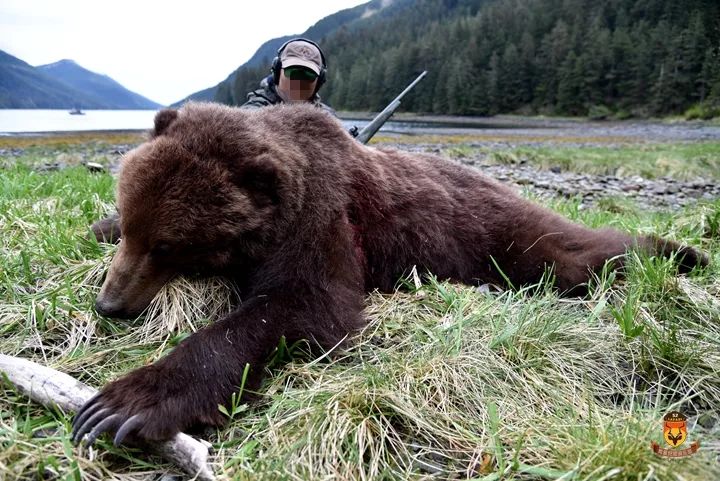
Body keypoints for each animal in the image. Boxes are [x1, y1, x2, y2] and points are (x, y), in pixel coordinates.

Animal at [74, 100, 708, 446]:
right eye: (135, 228)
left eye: (169, 245)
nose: (110, 305)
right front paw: (98, 226)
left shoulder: (322, 220)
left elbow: (303, 306)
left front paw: (125, 403)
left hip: (499, 232)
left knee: (574, 251)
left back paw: (678, 252)